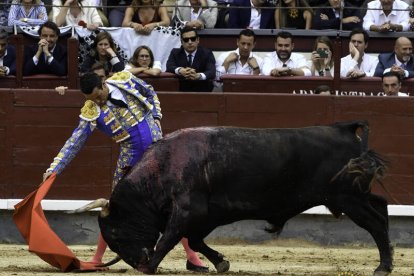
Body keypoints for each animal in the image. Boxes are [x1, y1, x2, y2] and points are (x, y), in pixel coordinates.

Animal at [95, 121, 392, 274]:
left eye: (117, 234)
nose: (136, 261)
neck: (164, 167)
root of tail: (343, 128)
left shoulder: (188, 210)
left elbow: (167, 239)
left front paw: (148, 268)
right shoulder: (208, 215)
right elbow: (195, 239)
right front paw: (221, 262)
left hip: (348, 198)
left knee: (376, 223)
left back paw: (384, 266)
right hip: (356, 196)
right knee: (381, 207)